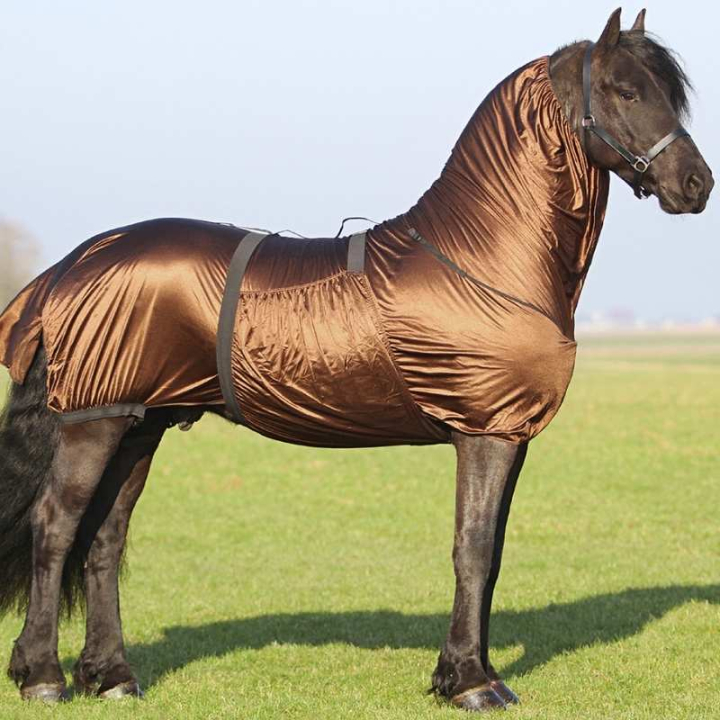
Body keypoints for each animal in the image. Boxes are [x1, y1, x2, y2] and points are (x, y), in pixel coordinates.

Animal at [0, 7, 712, 711]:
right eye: (625, 90)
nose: (697, 184)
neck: (484, 258)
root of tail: (72, 265)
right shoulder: (486, 432)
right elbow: (474, 549)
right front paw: (470, 682)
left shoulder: (511, 435)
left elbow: (494, 554)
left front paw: (470, 672)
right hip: (94, 421)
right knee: (57, 526)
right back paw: (43, 677)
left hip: (140, 422)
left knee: (105, 536)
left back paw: (112, 676)